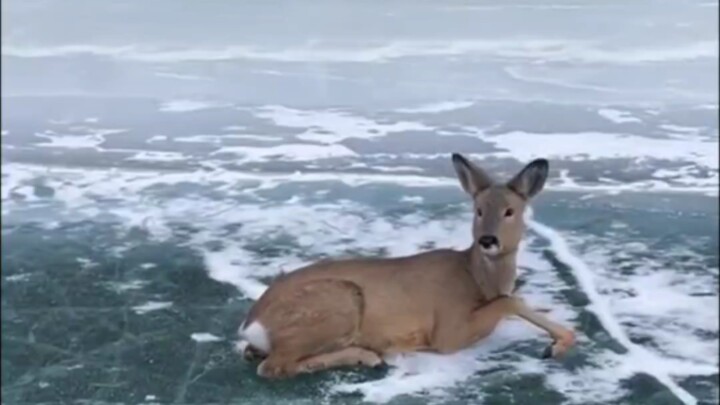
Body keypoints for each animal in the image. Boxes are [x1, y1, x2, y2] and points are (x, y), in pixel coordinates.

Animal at [237, 154, 576, 378]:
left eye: (510, 211)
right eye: (478, 210)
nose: (488, 240)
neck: (476, 279)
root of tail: (251, 322)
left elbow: (516, 301)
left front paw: (559, 342)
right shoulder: (448, 329)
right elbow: (511, 301)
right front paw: (557, 344)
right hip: (336, 301)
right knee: (272, 367)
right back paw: (368, 356)